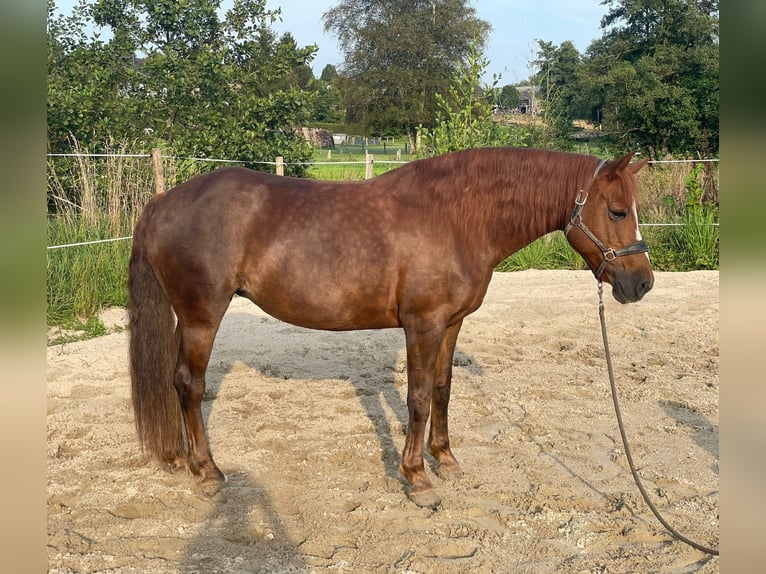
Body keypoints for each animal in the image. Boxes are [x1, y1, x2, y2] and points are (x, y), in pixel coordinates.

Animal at [127, 147, 656, 508]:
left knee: (175, 383)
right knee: (190, 385)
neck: (456, 216)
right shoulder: (422, 325)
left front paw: (446, 459)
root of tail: (162, 201)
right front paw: (417, 479)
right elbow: (417, 397)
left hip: (187, 319)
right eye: (616, 211)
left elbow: (442, 389)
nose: (642, 283)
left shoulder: (451, 324)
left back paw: (182, 459)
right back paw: (208, 471)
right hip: (202, 317)